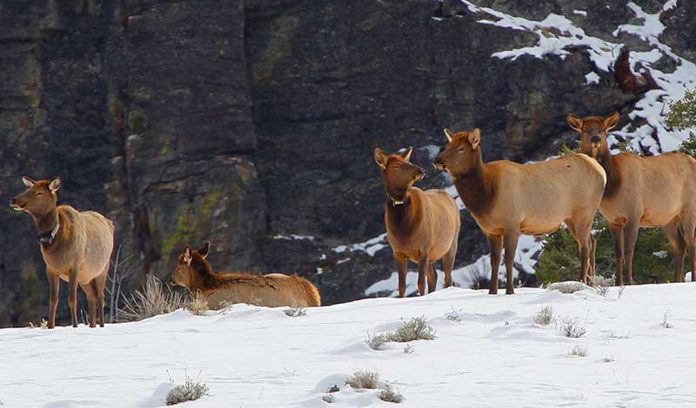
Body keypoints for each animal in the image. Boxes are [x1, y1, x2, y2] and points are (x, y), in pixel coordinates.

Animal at [9, 177, 114, 328]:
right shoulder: (50, 269)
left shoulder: (74, 266)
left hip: (103, 268)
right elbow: (53, 299)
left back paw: (101, 325)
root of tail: (110, 222)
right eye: (27, 189)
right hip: (86, 277)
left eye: (39, 193)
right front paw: (50, 326)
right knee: (91, 296)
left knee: (101, 296)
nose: (14, 200)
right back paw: (92, 325)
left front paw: (75, 325)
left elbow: (72, 298)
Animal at [374, 146, 461, 297]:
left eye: (407, 161)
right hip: (433, 254)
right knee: (434, 276)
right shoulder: (398, 252)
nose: (421, 170)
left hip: (450, 245)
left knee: (447, 278)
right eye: (396, 166)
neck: (403, 230)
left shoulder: (424, 249)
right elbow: (401, 286)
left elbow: (420, 283)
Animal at [434, 128, 606, 294]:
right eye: (447, 145)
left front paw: (510, 290)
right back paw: (591, 282)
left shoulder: (512, 224)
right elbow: (494, 261)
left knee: (585, 247)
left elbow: (508, 259)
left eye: (461, 148)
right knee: (592, 240)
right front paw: (492, 291)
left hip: (584, 211)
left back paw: (582, 281)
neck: (487, 197)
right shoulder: (491, 231)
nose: (437, 160)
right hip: (570, 218)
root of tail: (602, 172)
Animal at [567, 112, 696, 284]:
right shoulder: (613, 220)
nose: (596, 138)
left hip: (689, 208)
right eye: (585, 130)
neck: (612, 187)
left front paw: (629, 281)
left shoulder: (634, 214)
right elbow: (618, 252)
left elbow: (629, 250)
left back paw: (692, 278)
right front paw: (618, 283)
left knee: (690, 242)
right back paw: (676, 280)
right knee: (680, 245)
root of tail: (693, 160)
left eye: (603, 130)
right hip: (668, 217)